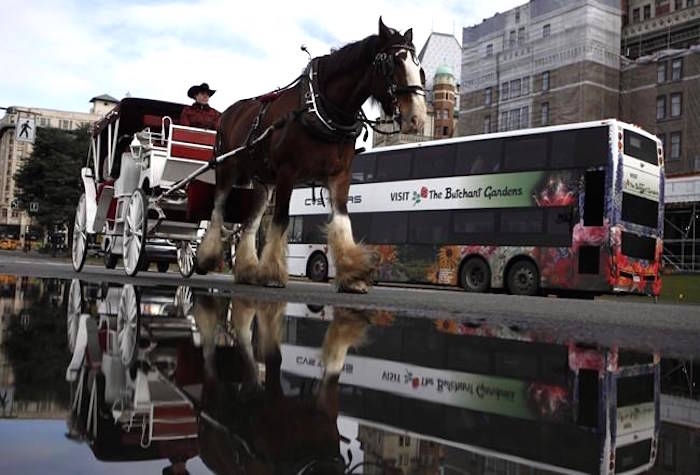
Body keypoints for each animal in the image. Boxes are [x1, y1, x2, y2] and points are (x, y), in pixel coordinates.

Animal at [196, 17, 426, 294]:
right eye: (394, 63)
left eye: (419, 68)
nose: (417, 119)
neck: (320, 109)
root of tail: (230, 111)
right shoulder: (288, 171)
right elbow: (282, 218)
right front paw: (272, 273)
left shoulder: (340, 174)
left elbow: (342, 219)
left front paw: (353, 275)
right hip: (227, 167)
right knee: (218, 208)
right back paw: (206, 258)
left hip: (263, 181)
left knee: (251, 221)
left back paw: (248, 269)